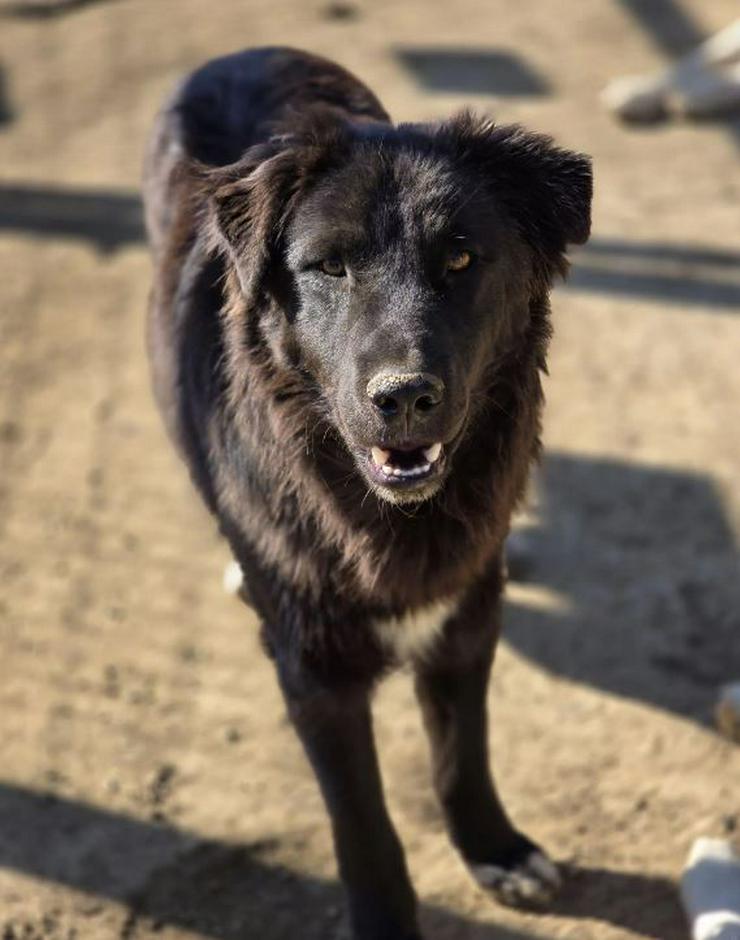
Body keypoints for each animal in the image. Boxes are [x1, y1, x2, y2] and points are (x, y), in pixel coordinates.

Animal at [145, 49, 592, 940]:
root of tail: (247, 53)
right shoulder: (314, 673)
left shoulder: (464, 616)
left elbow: (462, 753)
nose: (405, 397)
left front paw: (495, 849)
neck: (384, 516)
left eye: (461, 259)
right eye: (330, 266)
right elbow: (363, 822)